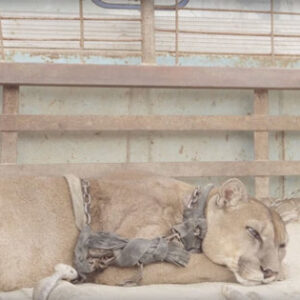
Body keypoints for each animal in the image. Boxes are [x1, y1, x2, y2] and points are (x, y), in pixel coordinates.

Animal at [0, 172, 288, 292]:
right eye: (253, 232)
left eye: (283, 245)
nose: (270, 271)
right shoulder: (120, 265)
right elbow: (205, 265)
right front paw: (282, 275)